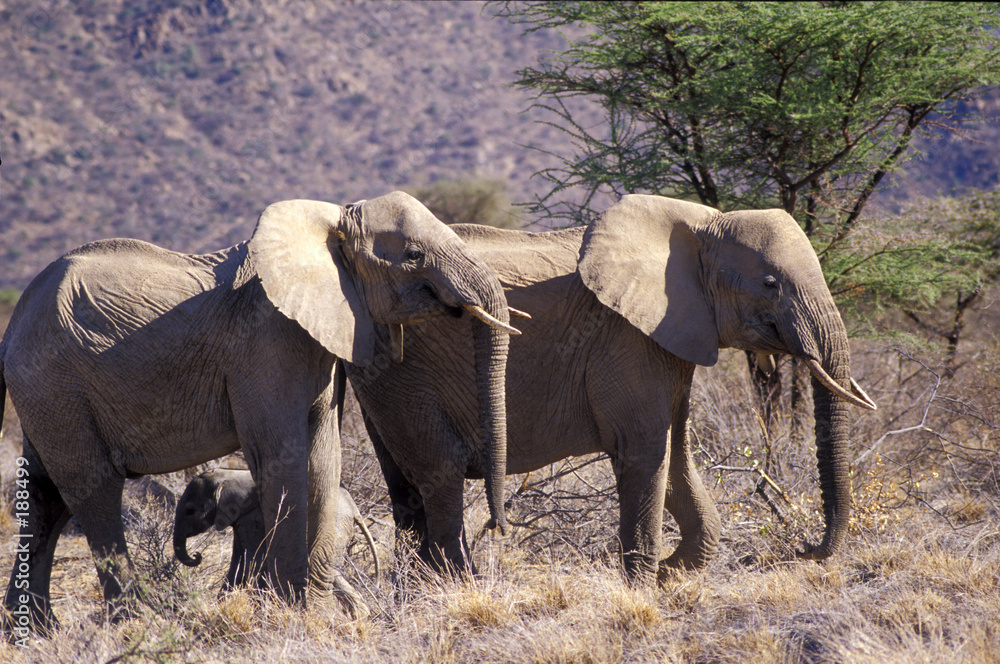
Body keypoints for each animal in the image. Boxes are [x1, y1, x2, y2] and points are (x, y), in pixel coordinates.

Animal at [173, 469, 379, 597]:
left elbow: (252, 558)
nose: (197, 555)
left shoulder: (252, 516)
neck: (227, 474)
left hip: (334, 524)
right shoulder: (241, 518)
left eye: (189, 510)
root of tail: (355, 509)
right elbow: (238, 561)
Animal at [347, 194, 876, 582]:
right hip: (405, 372)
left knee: (404, 484)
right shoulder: (628, 339)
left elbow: (675, 455)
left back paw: (414, 588)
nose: (804, 549)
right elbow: (644, 451)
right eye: (770, 283)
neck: (703, 225)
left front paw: (668, 571)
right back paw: (459, 585)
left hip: (382, 369)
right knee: (441, 471)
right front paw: (642, 584)